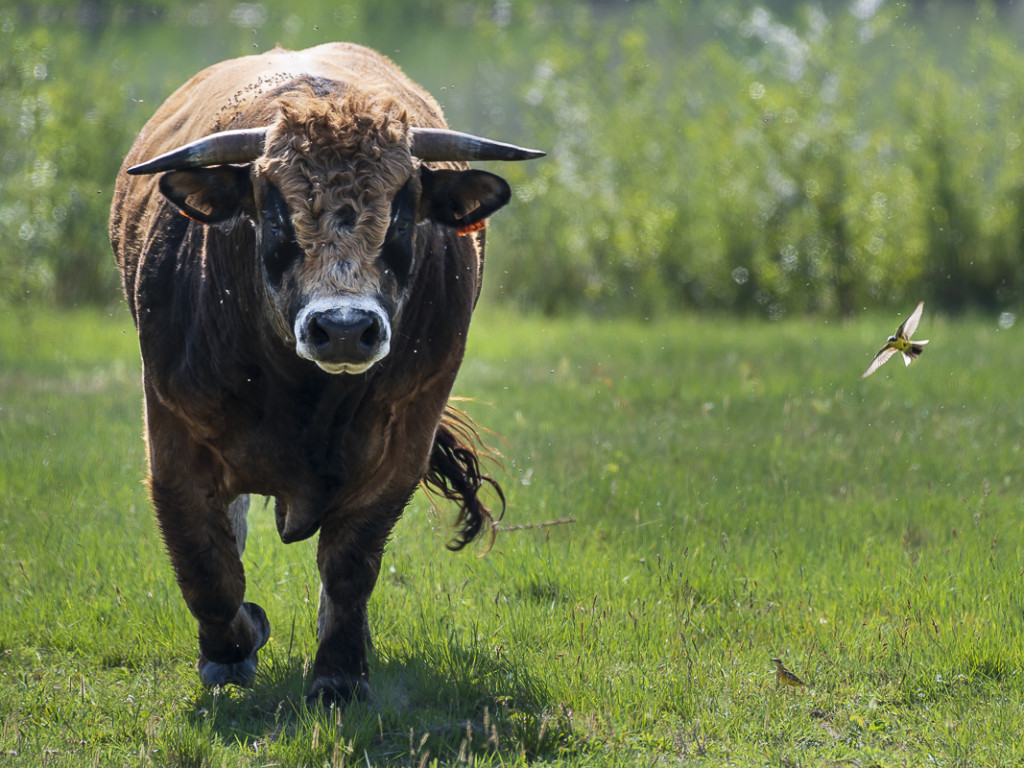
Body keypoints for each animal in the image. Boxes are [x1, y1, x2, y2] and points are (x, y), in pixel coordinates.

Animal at [109, 40, 544, 704]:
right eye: (275, 213)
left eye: (403, 213)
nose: (343, 327)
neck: (303, 398)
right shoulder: (173, 439)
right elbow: (206, 565)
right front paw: (232, 648)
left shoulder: (402, 442)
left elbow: (350, 563)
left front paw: (339, 674)